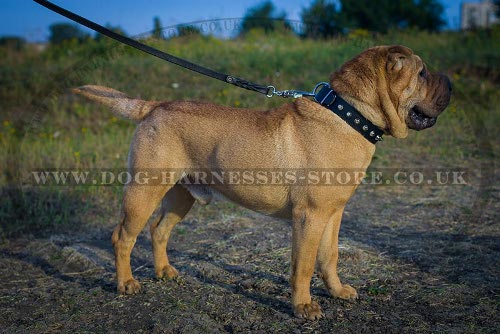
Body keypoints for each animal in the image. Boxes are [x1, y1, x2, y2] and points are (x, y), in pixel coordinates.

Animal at [74, 45, 454, 320]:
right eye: (422, 73)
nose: (450, 81)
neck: (349, 114)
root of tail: (154, 106)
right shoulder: (310, 217)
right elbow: (303, 265)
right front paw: (304, 307)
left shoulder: (333, 214)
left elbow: (329, 256)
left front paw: (337, 291)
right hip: (144, 191)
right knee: (123, 236)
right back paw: (126, 283)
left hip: (181, 197)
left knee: (159, 230)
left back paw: (165, 271)